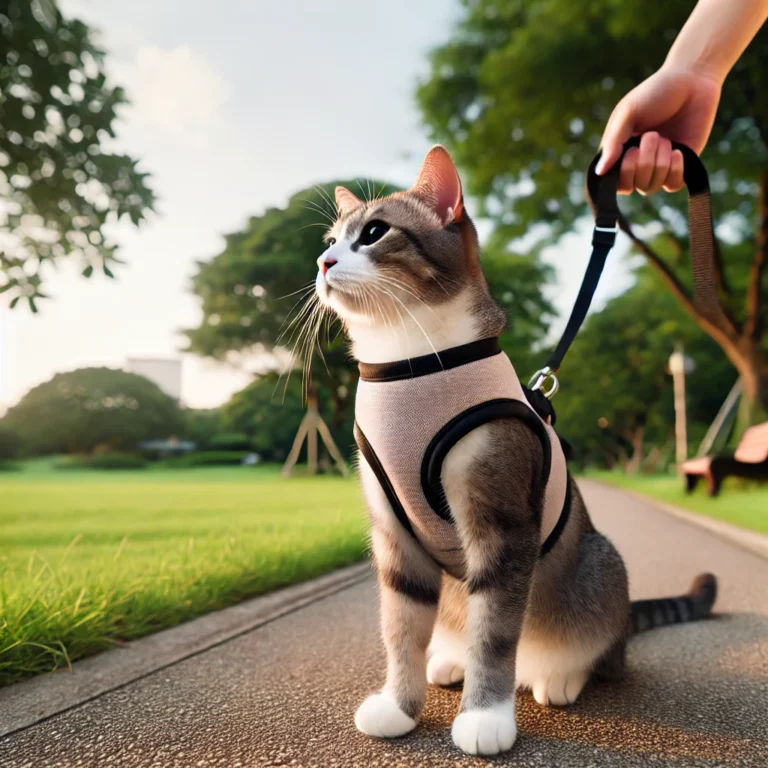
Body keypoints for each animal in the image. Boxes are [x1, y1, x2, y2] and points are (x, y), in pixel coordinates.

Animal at [308, 146, 716, 756]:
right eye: (331, 239)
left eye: (375, 232)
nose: (323, 262)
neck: (409, 366)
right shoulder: (393, 530)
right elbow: (401, 624)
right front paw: (400, 707)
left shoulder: (502, 521)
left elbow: (495, 633)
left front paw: (485, 717)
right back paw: (448, 660)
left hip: (601, 568)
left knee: (597, 651)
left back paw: (561, 675)